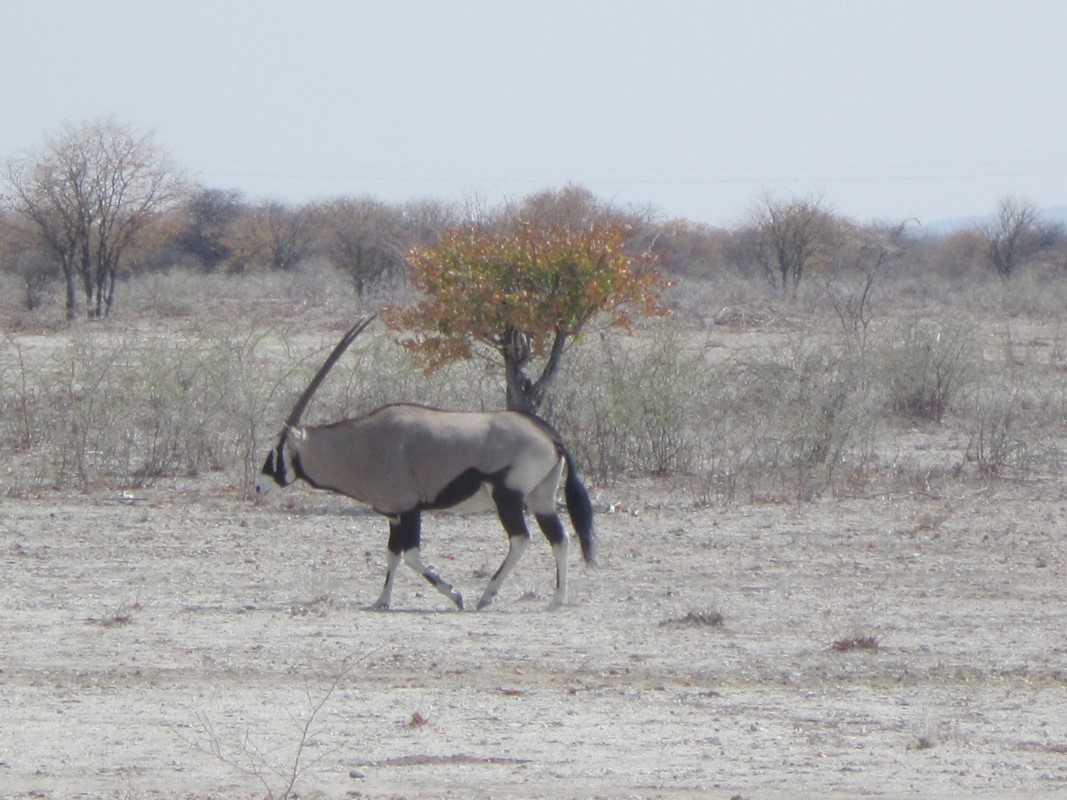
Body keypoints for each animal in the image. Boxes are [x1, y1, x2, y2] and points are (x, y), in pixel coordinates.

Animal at [255, 315, 597, 610]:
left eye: (276, 450)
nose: (259, 486)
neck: (364, 442)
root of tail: (551, 437)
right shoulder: (394, 515)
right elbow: (392, 554)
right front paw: (381, 601)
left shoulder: (409, 508)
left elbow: (411, 556)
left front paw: (456, 596)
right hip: (541, 497)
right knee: (560, 538)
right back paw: (556, 600)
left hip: (508, 495)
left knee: (521, 538)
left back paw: (486, 595)